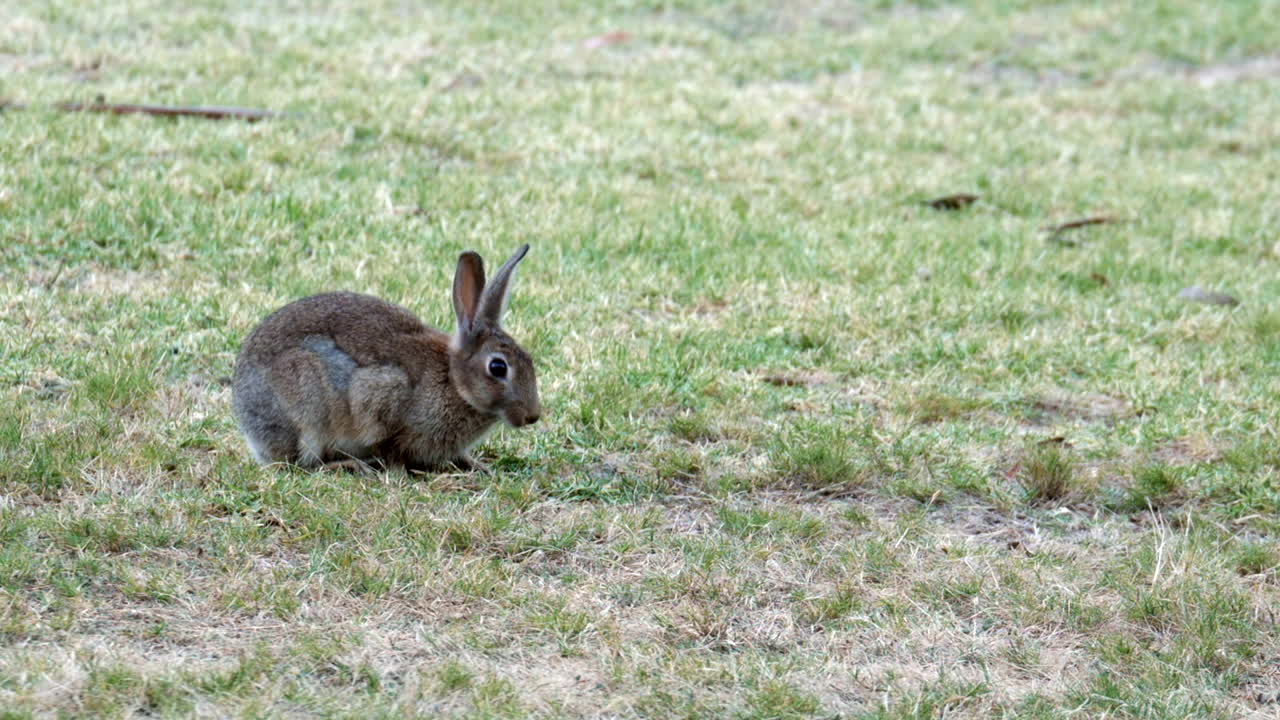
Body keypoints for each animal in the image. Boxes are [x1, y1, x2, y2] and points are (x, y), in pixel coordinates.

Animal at [231, 244, 541, 473]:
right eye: (498, 367)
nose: (532, 416)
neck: (454, 381)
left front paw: (478, 466)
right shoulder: (381, 395)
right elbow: (387, 445)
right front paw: (398, 472)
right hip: (307, 403)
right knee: (303, 463)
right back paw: (349, 465)